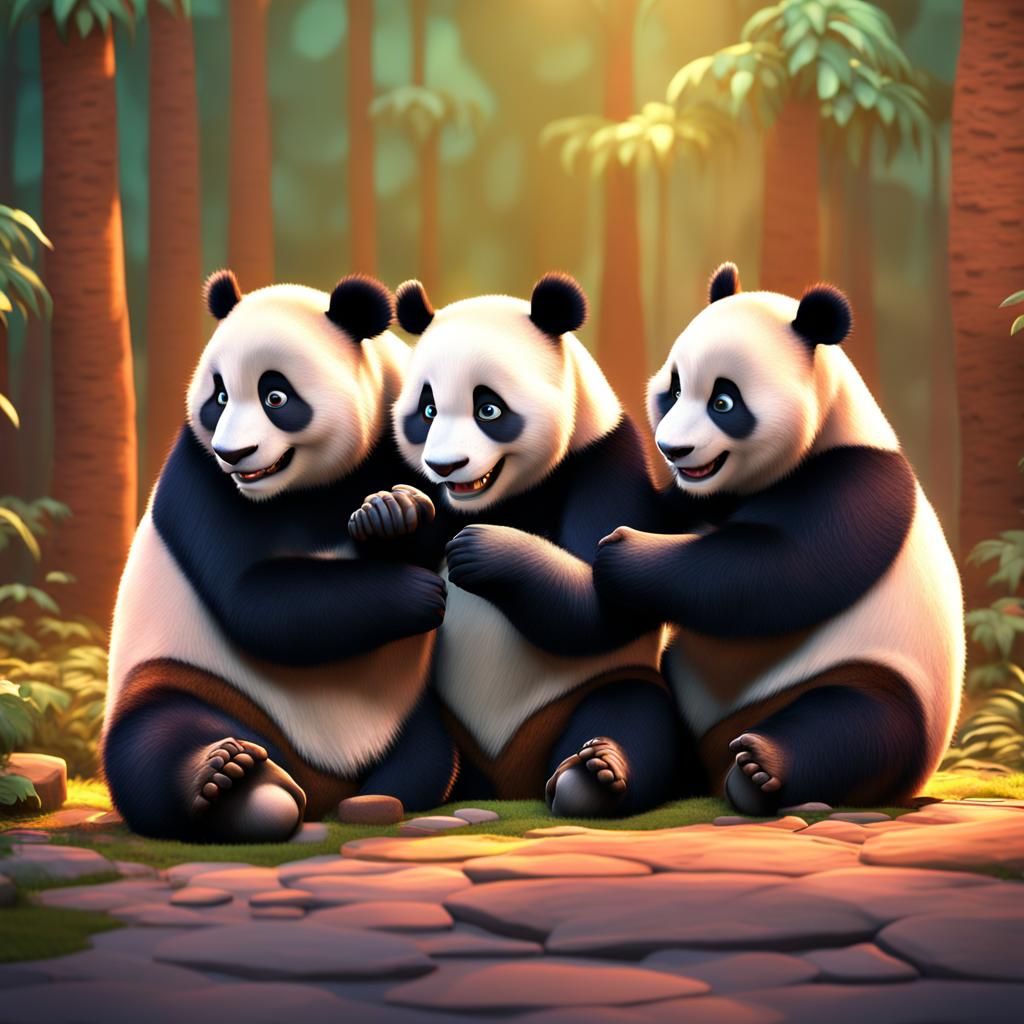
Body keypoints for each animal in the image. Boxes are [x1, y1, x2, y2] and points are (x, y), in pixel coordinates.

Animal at [103, 270, 456, 843]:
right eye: (219, 397)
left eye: (275, 395)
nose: (234, 454)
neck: (306, 489)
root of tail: (322, 785)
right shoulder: (199, 477)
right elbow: (258, 601)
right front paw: (415, 591)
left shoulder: (403, 438)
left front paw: (393, 513)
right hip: (189, 673)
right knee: (152, 736)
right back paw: (232, 781)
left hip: (408, 708)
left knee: (430, 751)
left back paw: (382, 790)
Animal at [350, 273, 691, 818]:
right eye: (427, 410)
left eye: (488, 408)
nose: (446, 466)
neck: (501, 499)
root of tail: (509, 779)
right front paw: (389, 514)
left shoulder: (604, 458)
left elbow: (603, 596)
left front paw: (484, 551)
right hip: (432, 703)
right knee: (416, 736)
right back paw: (381, 794)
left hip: (597, 686)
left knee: (634, 714)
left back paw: (594, 775)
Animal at [594, 262, 965, 814]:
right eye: (675, 390)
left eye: (724, 401)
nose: (673, 449)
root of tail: (712, 757)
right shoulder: (700, 499)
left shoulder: (854, 482)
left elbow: (773, 574)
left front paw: (622, 554)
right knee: (649, 713)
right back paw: (599, 770)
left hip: (883, 675)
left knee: (856, 725)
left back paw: (761, 767)